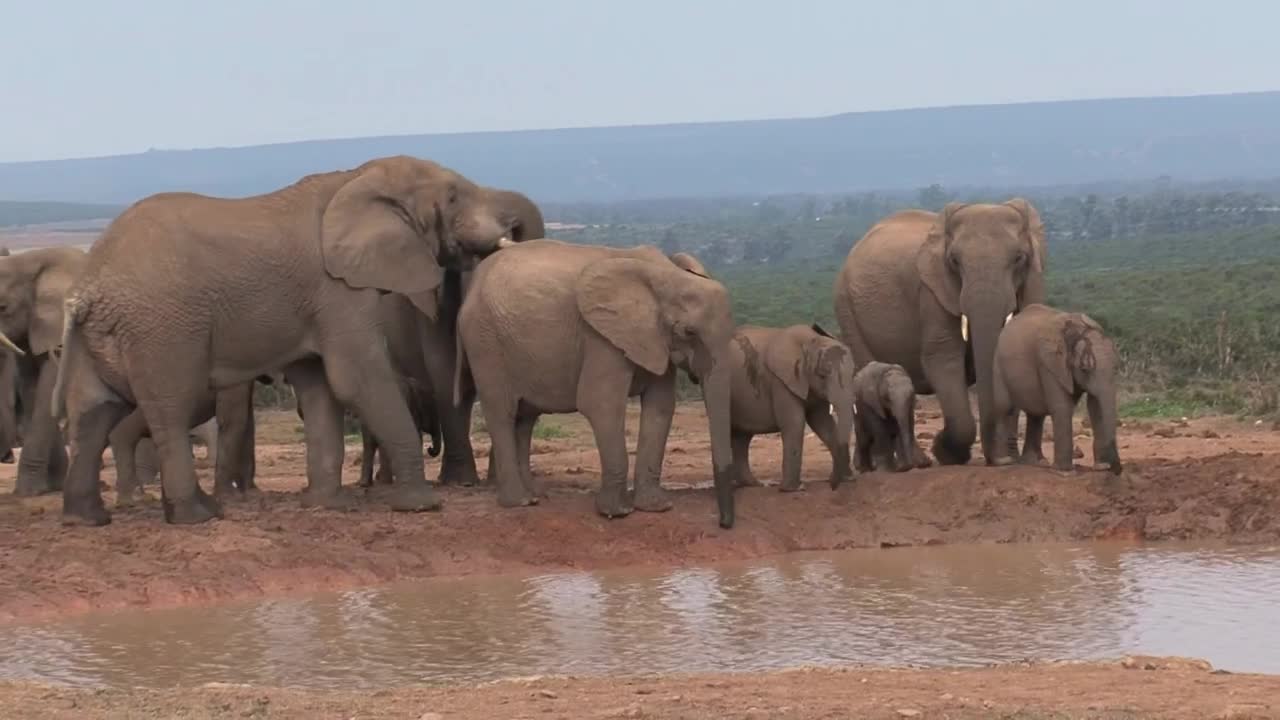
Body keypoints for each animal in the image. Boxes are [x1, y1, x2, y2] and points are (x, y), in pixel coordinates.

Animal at [50, 155, 521, 527]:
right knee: (170, 409)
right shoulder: (336, 290)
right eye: (454, 196)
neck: (356, 177)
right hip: (162, 327)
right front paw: (421, 507)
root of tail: (86, 288)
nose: (511, 227)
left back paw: (86, 520)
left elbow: (319, 390)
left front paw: (328, 506)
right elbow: (357, 378)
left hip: (107, 333)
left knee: (94, 411)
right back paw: (197, 517)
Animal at [456, 239, 738, 528]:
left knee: (525, 419)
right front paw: (617, 513)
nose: (723, 524)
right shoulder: (600, 338)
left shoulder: (655, 339)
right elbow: (601, 403)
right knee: (503, 413)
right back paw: (519, 502)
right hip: (484, 342)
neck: (669, 275)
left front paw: (656, 508)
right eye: (689, 332)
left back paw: (533, 497)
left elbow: (660, 407)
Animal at [726, 322, 856, 492]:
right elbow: (795, 422)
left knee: (742, 437)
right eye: (822, 375)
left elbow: (824, 424)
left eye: (853, 374)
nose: (833, 484)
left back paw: (752, 485)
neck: (811, 341)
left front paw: (847, 479)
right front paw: (794, 489)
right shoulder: (782, 381)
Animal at [833, 199, 1047, 467]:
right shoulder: (932, 291)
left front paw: (1011, 459)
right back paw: (907, 464)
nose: (998, 460)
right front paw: (947, 454)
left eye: (1019, 258)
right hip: (847, 309)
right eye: (954, 261)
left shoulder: (1033, 282)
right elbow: (943, 357)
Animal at [991, 304, 1122, 475]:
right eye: (1085, 368)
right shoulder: (1049, 364)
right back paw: (1004, 461)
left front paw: (1101, 467)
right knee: (1003, 408)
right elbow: (1062, 407)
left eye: (1116, 368)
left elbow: (1095, 407)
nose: (1116, 470)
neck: (1076, 329)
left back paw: (1036, 463)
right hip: (998, 365)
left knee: (1036, 415)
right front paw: (1066, 473)